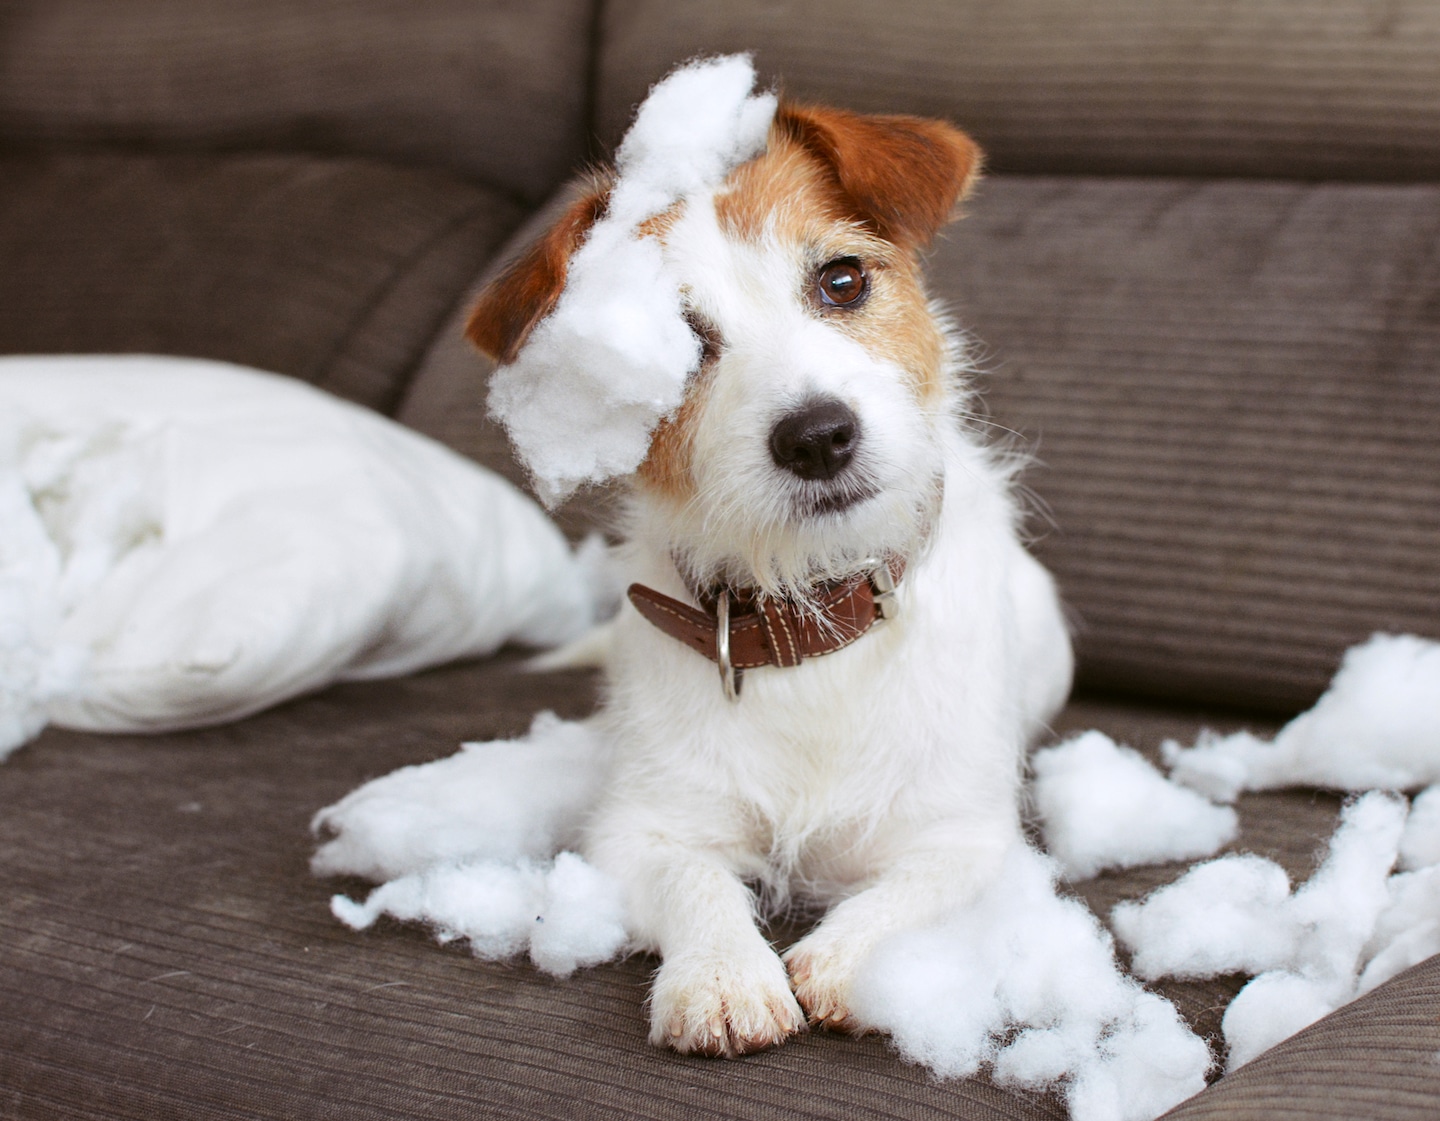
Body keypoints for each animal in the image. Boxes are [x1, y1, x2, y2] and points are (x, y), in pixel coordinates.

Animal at [466, 100, 1077, 1054]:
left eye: (843, 281)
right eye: (680, 346)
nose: (819, 435)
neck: (809, 614)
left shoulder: (965, 837)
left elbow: (910, 890)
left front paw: (841, 958)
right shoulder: (644, 828)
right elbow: (694, 883)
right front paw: (722, 975)